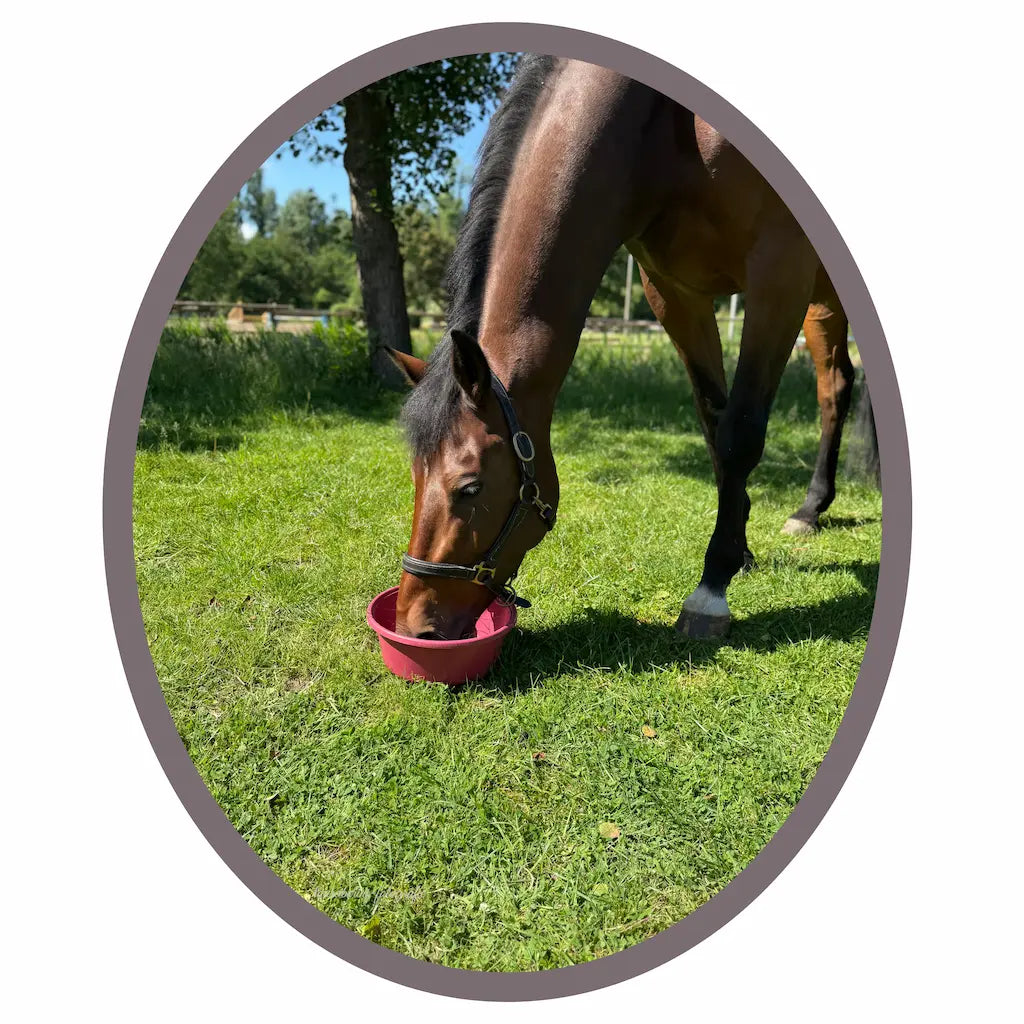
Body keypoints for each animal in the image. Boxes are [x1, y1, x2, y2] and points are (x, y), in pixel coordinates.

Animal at [387, 53, 860, 642]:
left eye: (469, 488)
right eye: (415, 476)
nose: (414, 626)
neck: (665, 133)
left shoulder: (779, 273)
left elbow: (741, 432)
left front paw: (711, 590)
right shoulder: (673, 291)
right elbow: (714, 423)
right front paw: (738, 550)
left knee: (832, 393)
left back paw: (811, 506)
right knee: (836, 387)